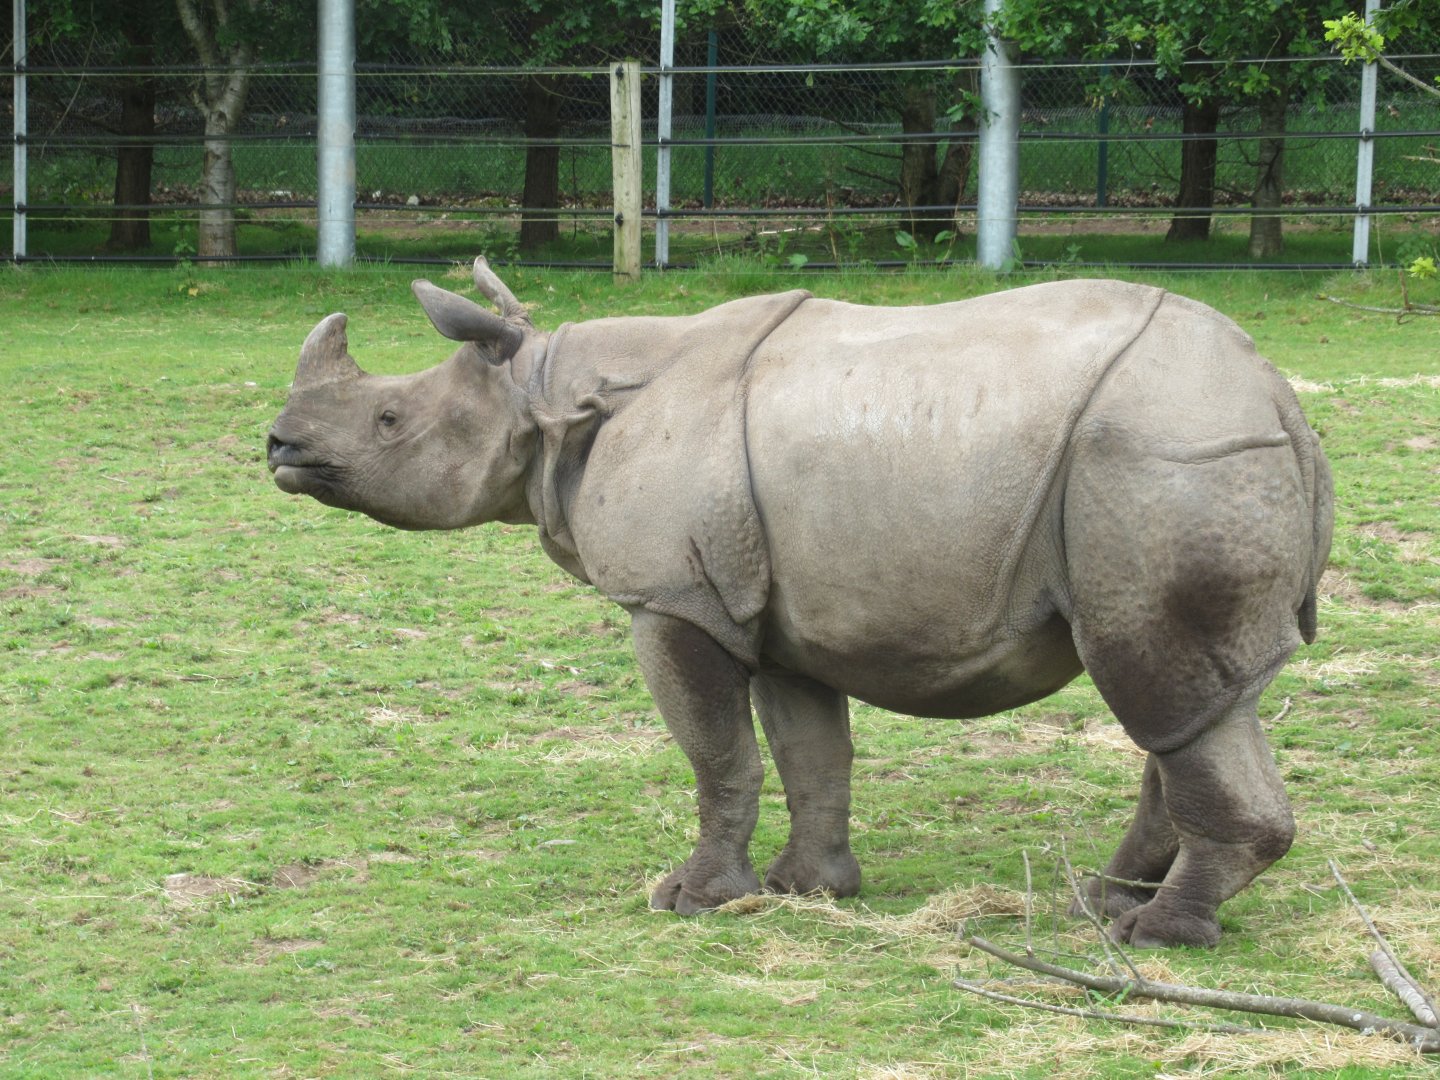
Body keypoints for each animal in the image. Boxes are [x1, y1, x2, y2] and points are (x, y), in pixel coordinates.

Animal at [267, 257, 1333, 947]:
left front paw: (692, 901)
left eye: (389, 420)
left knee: (1161, 689)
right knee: (1187, 704)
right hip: (1173, 455)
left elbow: (718, 756)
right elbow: (807, 751)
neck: (544, 393)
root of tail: (1279, 397)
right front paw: (807, 891)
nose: (278, 447)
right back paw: (1103, 906)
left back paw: (1155, 937)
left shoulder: (673, 598)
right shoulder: (778, 615)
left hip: (1163, 456)